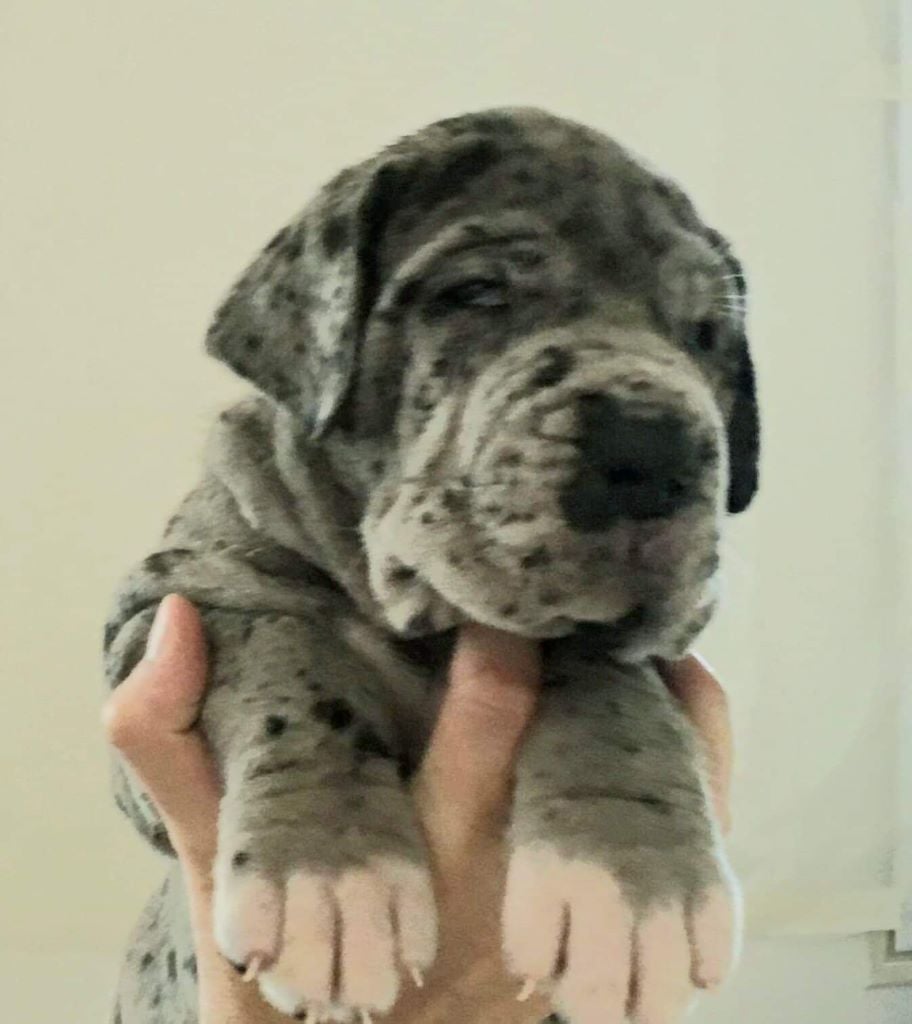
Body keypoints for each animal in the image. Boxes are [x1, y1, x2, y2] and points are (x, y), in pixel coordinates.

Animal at [103, 107, 759, 1024]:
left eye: (707, 336)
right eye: (473, 293)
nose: (656, 448)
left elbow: (614, 680)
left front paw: (629, 879)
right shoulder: (164, 612)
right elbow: (284, 654)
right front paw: (331, 869)